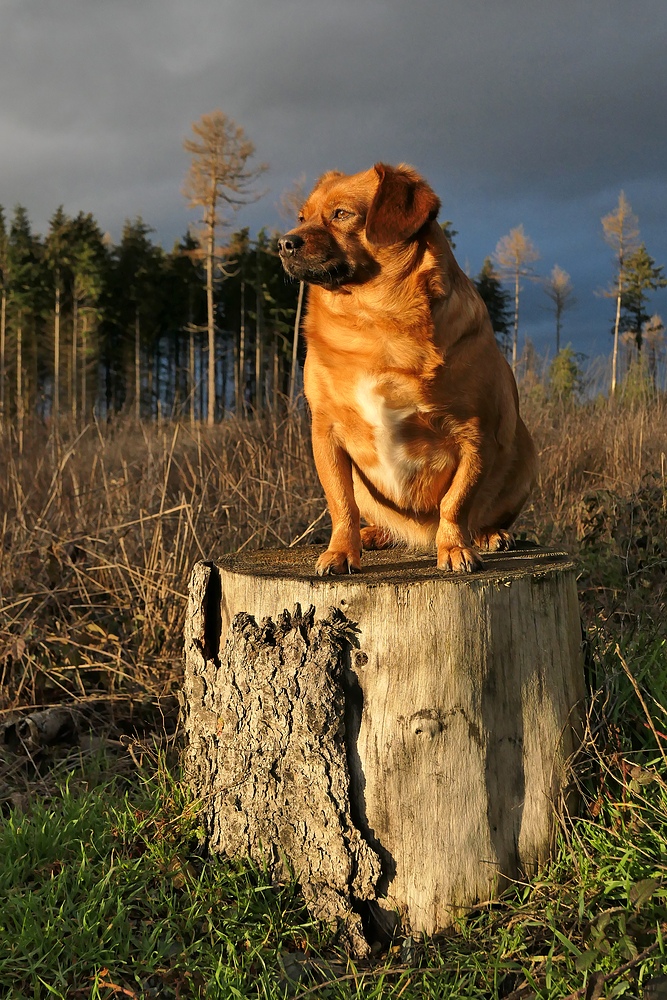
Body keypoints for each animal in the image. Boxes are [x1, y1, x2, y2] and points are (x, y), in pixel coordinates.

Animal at [276, 160, 536, 576]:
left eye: (341, 214)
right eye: (301, 218)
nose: (284, 243)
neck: (376, 322)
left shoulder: (475, 435)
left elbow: (456, 501)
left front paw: (454, 547)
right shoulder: (326, 433)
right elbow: (341, 503)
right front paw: (341, 551)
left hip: (525, 459)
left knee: (480, 514)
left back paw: (488, 535)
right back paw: (374, 534)